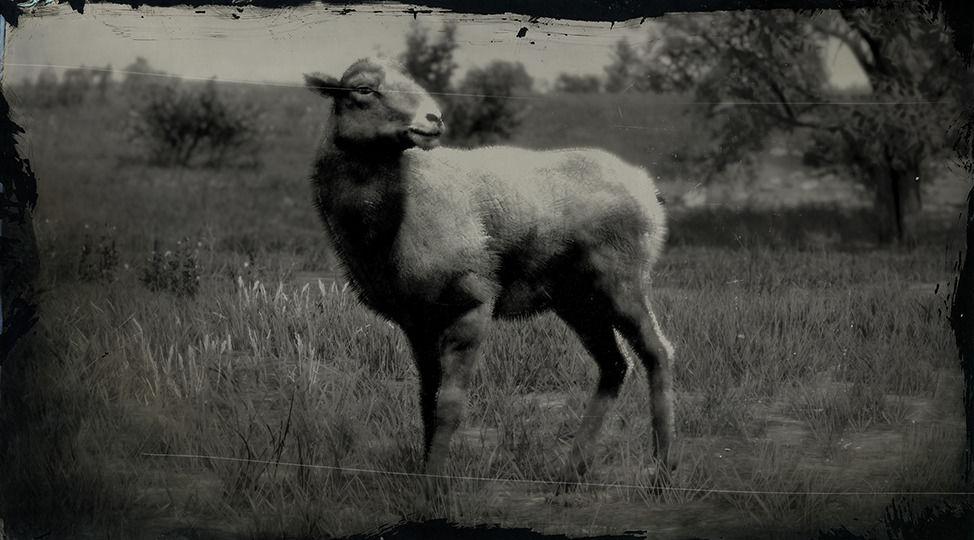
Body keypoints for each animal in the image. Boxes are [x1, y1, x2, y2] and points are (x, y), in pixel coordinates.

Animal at [306, 58, 680, 486]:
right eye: (363, 90)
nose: (433, 119)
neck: (393, 219)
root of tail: (645, 185)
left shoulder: (471, 303)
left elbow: (449, 405)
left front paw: (433, 485)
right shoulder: (418, 322)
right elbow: (426, 400)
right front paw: (423, 474)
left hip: (622, 283)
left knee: (657, 353)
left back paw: (662, 471)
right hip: (577, 299)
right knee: (615, 365)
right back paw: (571, 473)